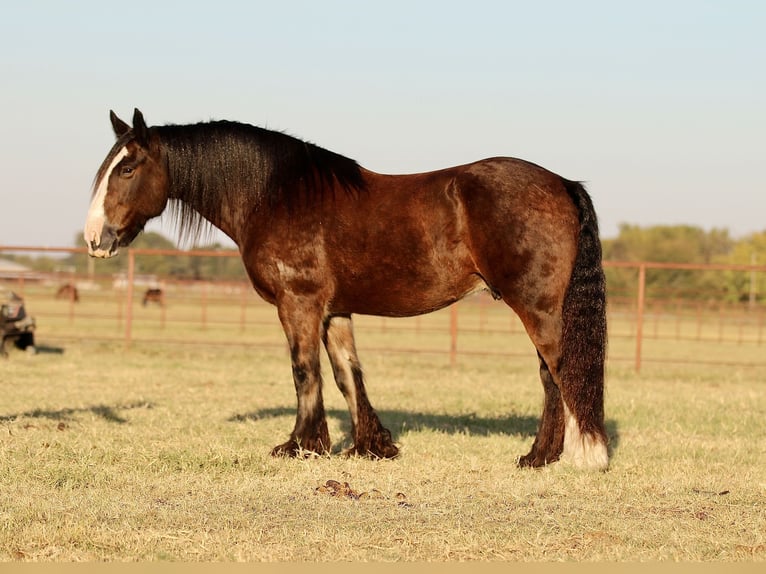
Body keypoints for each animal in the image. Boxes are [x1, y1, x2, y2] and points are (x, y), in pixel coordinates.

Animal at [84, 110, 612, 470]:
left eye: (127, 169)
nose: (95, 239)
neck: (274, 196)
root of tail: (562, 184)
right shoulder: (334, 311)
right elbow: (346, 374)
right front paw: (370, 446)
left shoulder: (298, 304)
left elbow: (304, 371)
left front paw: (300, 445)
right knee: (552, 376)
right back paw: (539, 457)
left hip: (538, 308)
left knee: (562, 373)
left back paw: (575, 456)